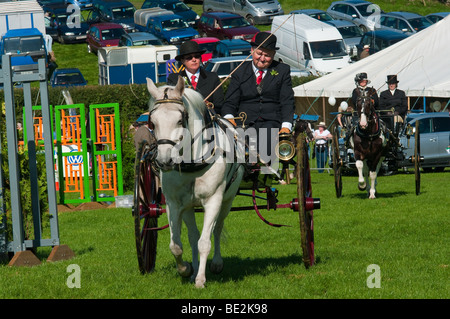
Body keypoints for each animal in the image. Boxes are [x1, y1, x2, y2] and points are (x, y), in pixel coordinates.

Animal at [146, 76, 244, 288]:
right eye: (152, 123)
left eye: (179, 120)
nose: (164, 161)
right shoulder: (174, 204)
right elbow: (176, 245)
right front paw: (186, 269)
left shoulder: (214, 201)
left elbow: (205, 242)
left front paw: (200, 279)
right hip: (189, 207)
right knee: (192, 236)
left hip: (227, 200)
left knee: (217, 229)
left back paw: (216, 264)